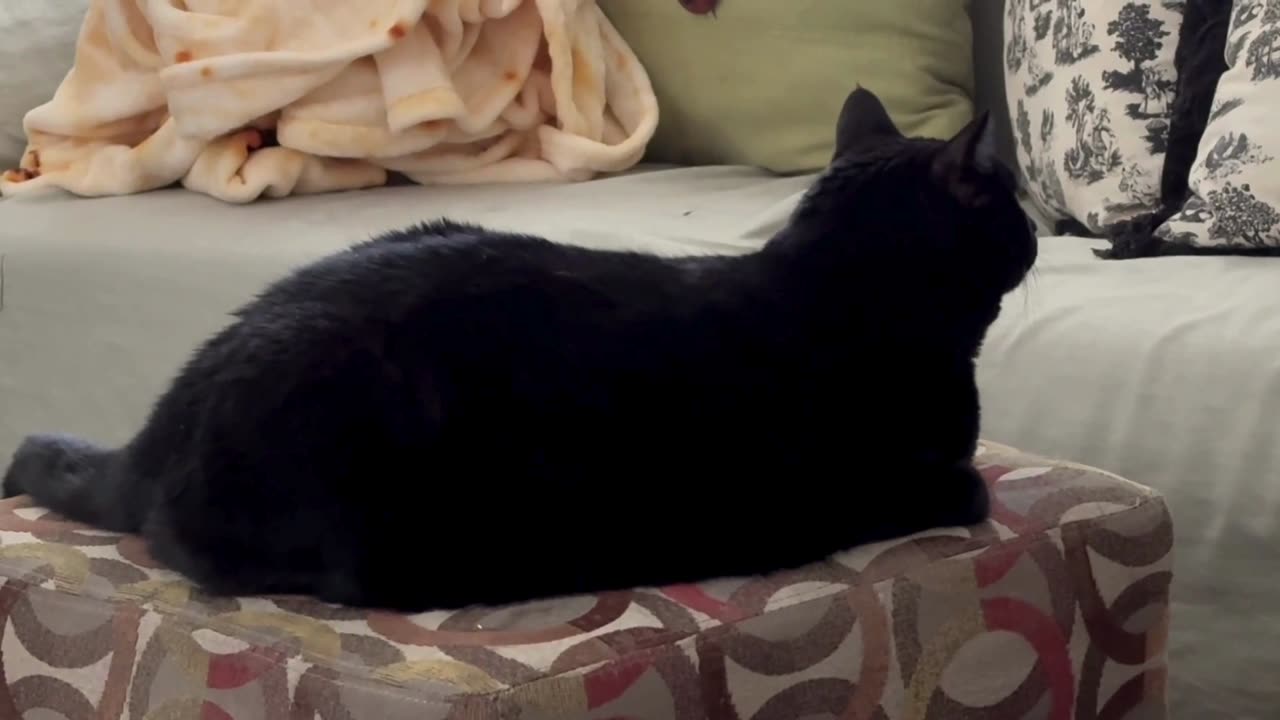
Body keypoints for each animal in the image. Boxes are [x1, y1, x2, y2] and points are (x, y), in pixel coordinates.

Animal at [2, 87, 1039, 607]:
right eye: (1015, 210)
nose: (1034, 230)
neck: (836, 290)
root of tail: (160, 425)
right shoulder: (900, 481)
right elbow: (973, 486)